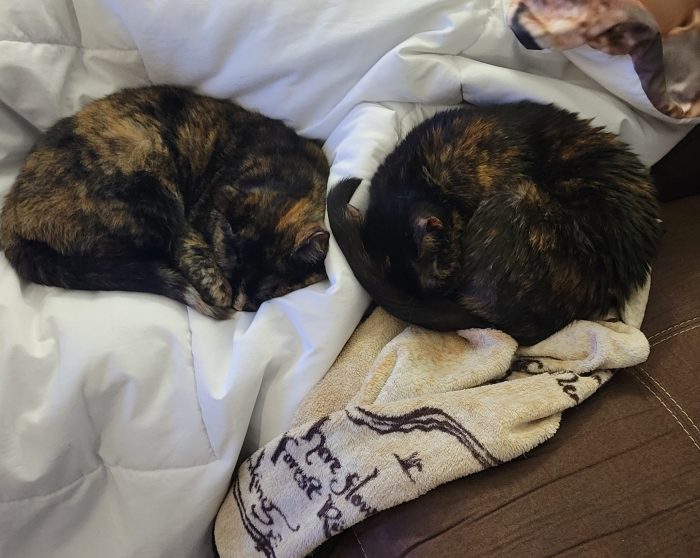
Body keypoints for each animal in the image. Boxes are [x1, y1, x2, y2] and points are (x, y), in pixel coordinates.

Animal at [0, 85, 330, 318]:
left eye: (266, 289)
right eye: (229, 271)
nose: (238, 305)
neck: (284, 171)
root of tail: (10, 215)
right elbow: (193, 255)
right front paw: (219, 290)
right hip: (148, 172)